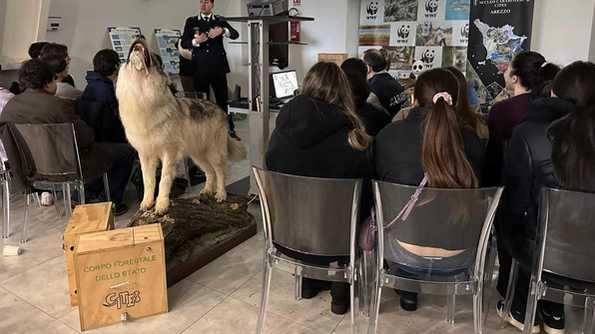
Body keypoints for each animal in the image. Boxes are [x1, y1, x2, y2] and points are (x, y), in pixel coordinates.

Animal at [116, 39, 247, 214]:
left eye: (153, 58)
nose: (139, 38)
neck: (142, 98)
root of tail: (220, 109)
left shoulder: (169, 154)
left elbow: (163, 180)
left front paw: (161, 205)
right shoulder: (145, 156)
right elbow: (148, 182)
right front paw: (146, 203)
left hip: (213, 153)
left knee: (220, 172)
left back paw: (220, 194)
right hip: (197, 156)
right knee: (210, 172)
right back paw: (207, 191)